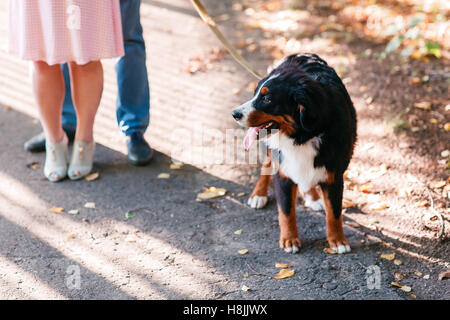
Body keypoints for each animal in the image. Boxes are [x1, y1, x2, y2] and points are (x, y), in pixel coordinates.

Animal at [232, 53, 356, 255]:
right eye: (255, 93)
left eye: (267, 99)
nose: (234, 113)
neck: (303, 136)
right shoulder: (283, 174)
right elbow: (286, 211)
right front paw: (289, 240)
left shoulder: (334, 176)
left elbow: (334, 213)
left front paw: (337, 241)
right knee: (266, 165)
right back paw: (259, 194)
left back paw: (313, 197)